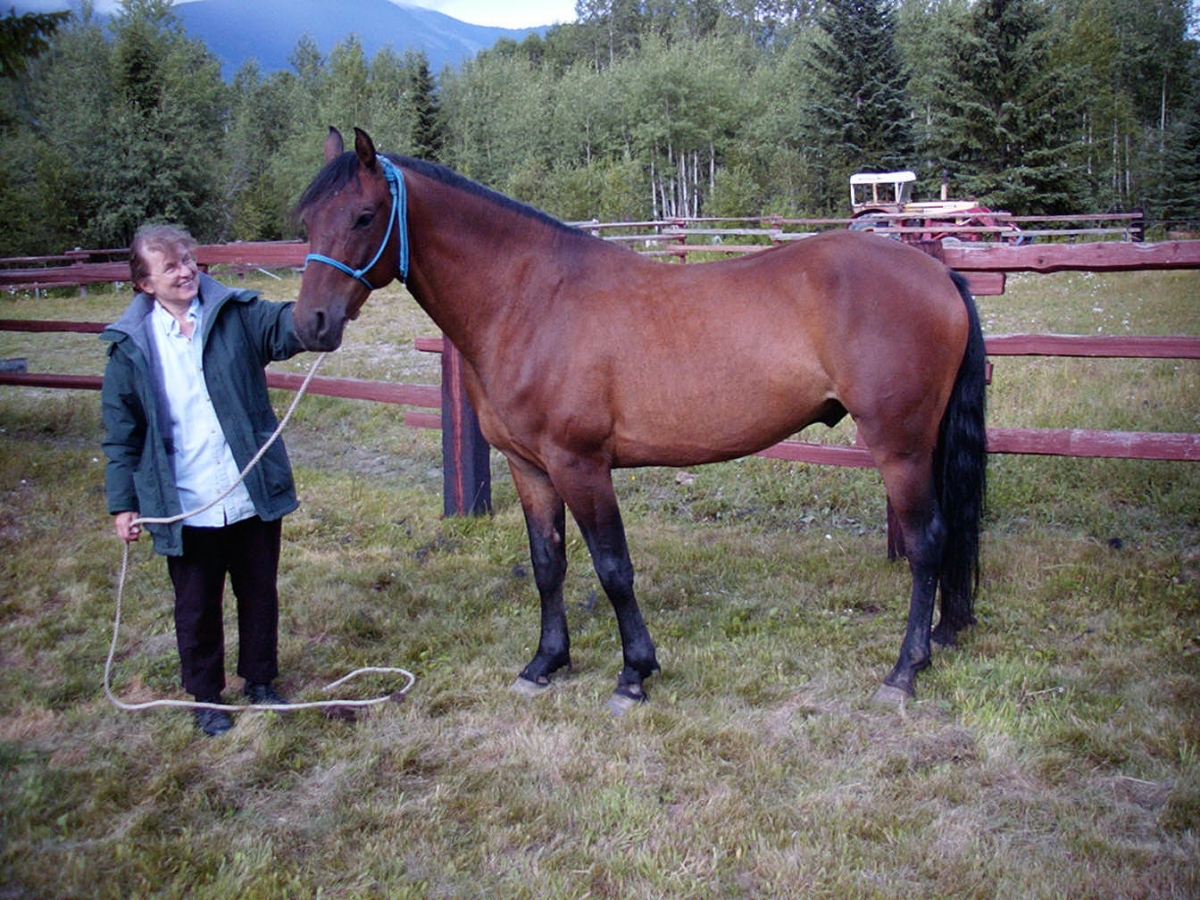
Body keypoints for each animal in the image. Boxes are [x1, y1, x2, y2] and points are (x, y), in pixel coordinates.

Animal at [294, 127, 988, 712]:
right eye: (306, 222)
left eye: (363, 216)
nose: (310, 324)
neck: (529, 301)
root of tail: (938, 273)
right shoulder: (529, 467)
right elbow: (547, 564)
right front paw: (545, 663)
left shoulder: (580, 464)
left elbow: (613, 568)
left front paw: (633, 674)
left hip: (900, 447)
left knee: (927, 541)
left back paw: (903, 671)